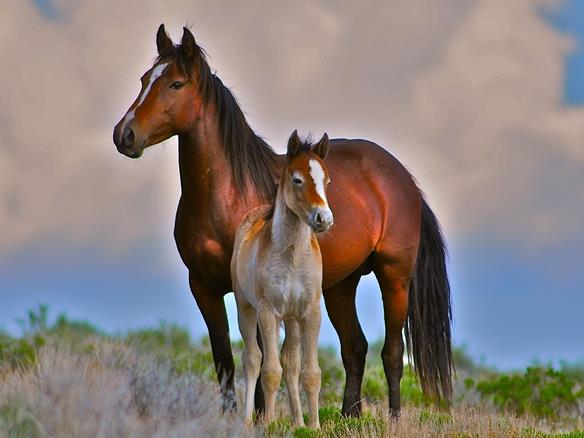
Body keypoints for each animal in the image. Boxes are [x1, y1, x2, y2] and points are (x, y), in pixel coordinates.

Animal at [232, 131, 332, 428]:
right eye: (297, 179)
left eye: (327, 181)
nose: (323, 219)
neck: (292, 256)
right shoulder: (267, 312)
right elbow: (269, 371)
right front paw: (267, 423)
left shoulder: (310, 312)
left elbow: (310, 372)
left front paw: (313, 427)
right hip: (246, 309)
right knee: (252, 359)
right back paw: (246, 421)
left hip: (292, 319)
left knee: (291, 363)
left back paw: (298, 422)